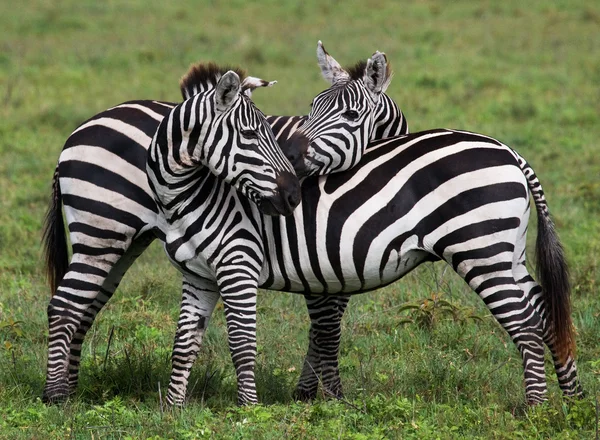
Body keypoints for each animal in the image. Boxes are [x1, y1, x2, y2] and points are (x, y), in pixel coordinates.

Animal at [42, 43, 404, 404]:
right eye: (313, 107)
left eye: (352, 116)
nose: (292, 161)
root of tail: (80, 130)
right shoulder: (316, 254)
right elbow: (325, 326)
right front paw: (325, 394)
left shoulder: (339, 263)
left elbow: (327, 324)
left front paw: (311, 391)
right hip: (102, 230)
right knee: (67, 304)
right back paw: (56, 395)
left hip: (123, 242)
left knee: (86, 306)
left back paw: (70, 390)